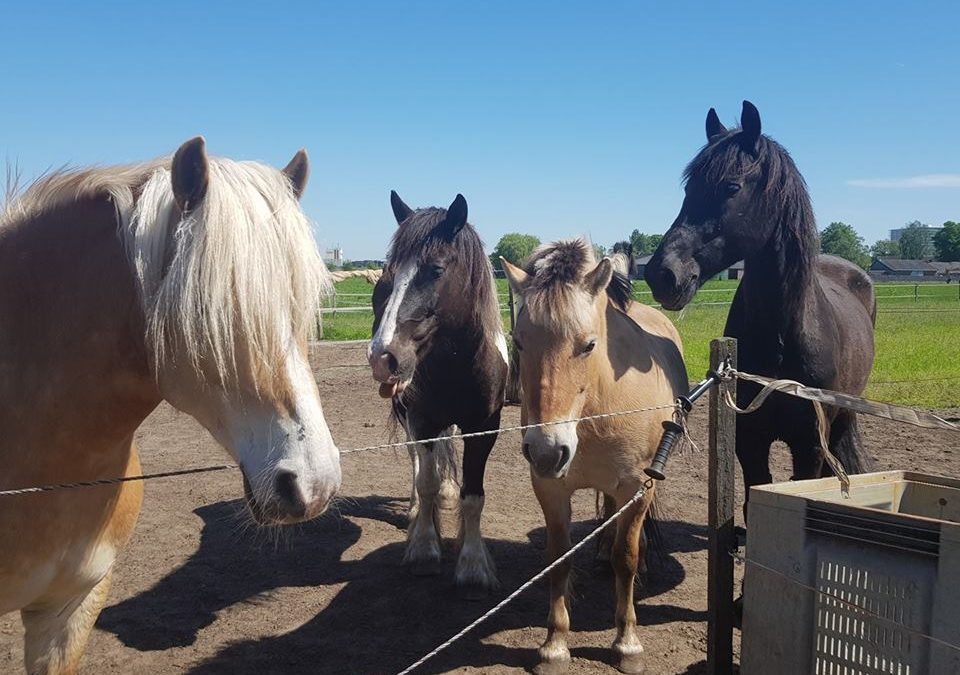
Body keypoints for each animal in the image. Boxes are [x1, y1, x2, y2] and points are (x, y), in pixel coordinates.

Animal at [366, 189, 506, 592]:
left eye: (437, 270)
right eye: (392, 272)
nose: (383, 356)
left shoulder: (484, 428)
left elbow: (473, 496)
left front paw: (473, 567)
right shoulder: (422, 419)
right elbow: (425, 481)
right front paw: (425, 550)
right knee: (417, 461)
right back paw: (417, 511)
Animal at [506, 243, 688, 675]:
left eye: (588, 345)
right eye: (518, 342)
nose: (547, 450)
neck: (597, 406)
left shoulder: (638, 487)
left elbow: (628, 558)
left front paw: (627, 643)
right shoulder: (550, 488)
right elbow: (558, 559)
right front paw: (554, 647)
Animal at [644, 99, 876, 516]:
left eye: (731, 186)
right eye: (689, 187)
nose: (662, 274)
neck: (783, 340)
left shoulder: (808, 445)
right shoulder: (749, 440)